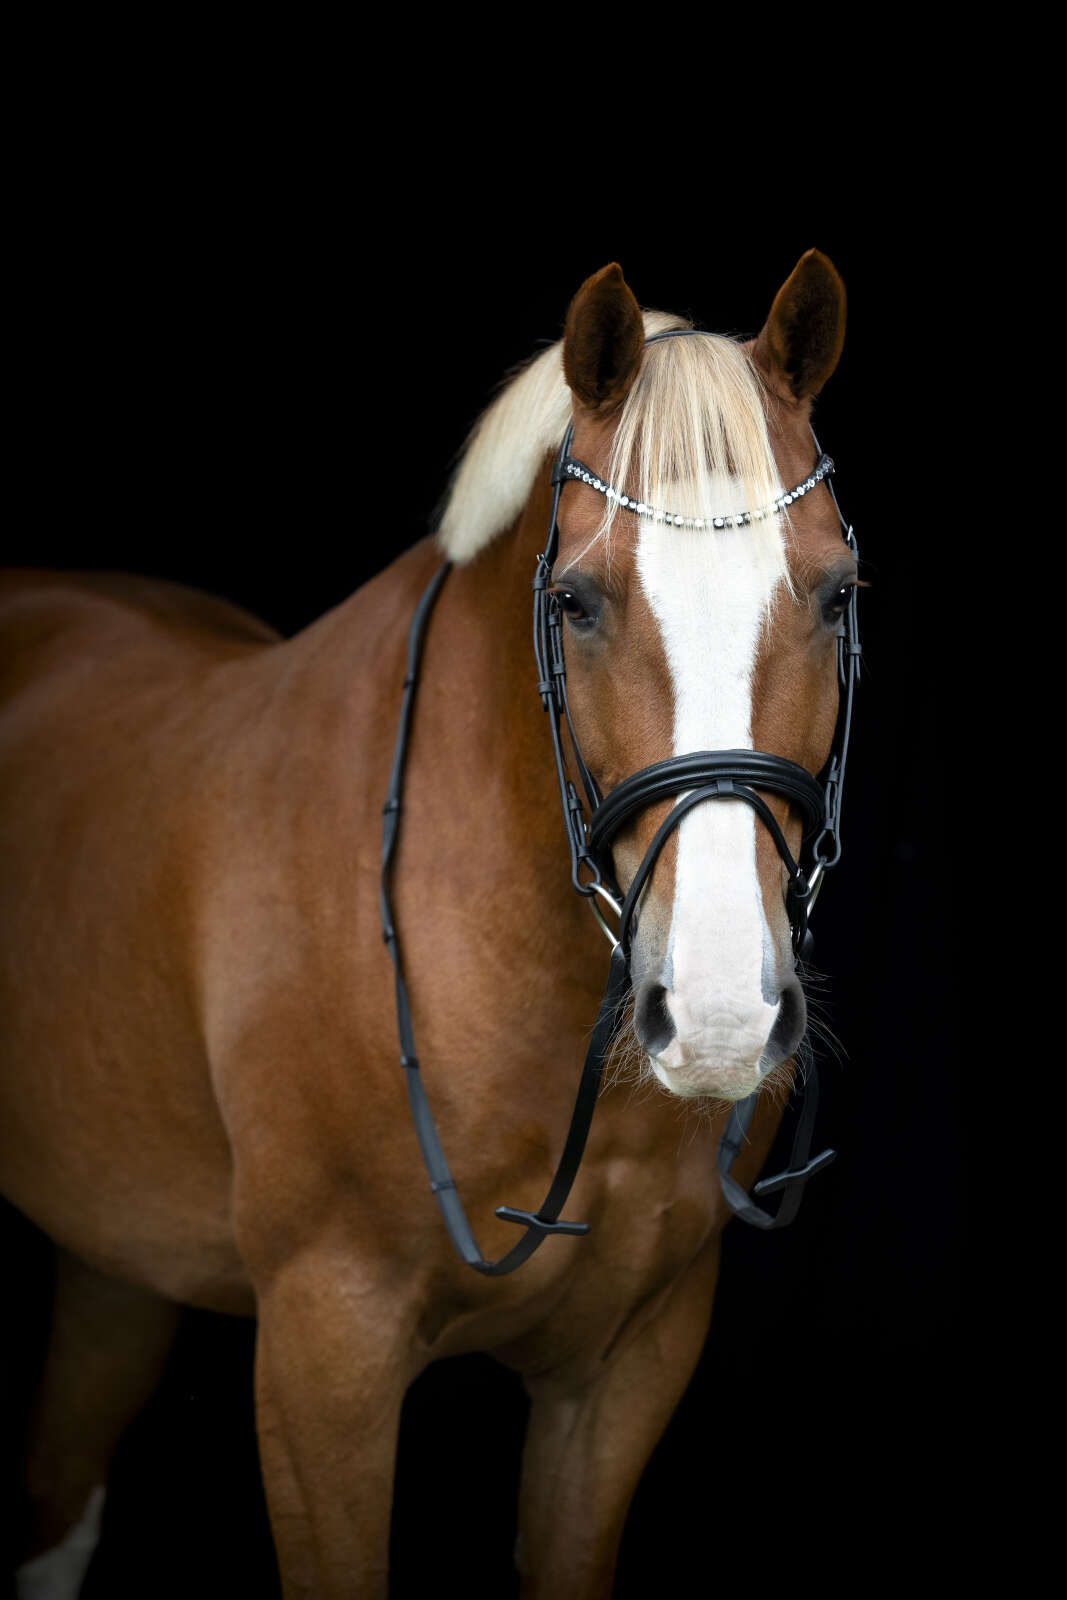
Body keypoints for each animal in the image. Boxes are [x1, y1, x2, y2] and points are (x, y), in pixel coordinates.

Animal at [2, 248, 856, 1597]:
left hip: (110, 1256)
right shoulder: (323, 1359)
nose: (719, 1011)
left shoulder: (625, 1367)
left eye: (832, 594)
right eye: (575, 601)